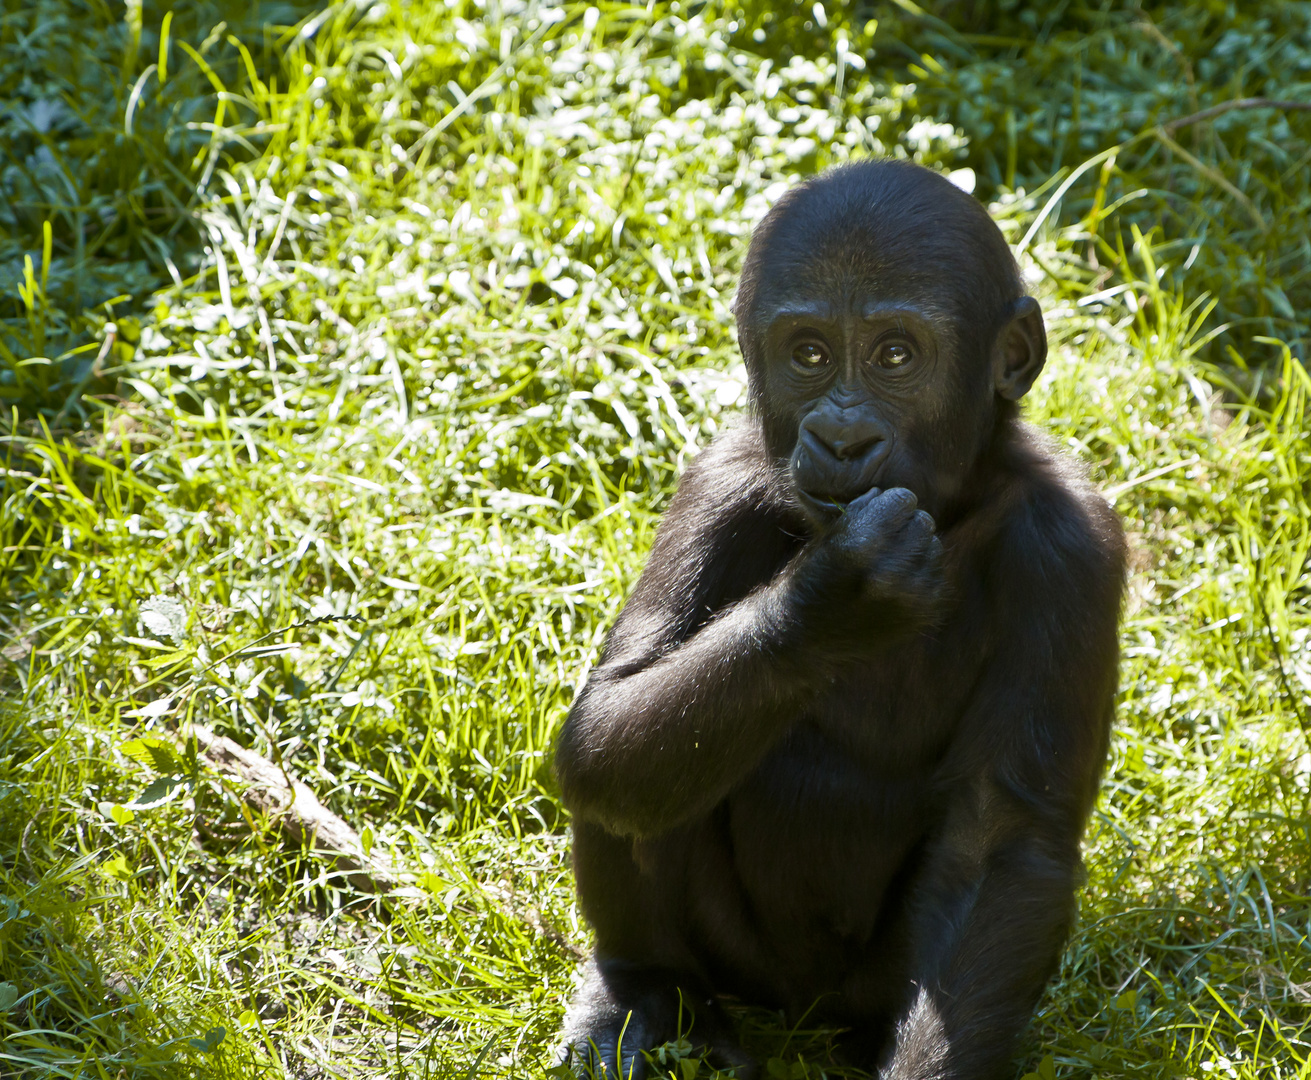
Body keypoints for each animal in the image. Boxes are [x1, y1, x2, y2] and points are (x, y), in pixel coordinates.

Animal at [553, 160, 1127, 1080]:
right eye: (809, 354)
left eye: (895, 353)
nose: (842, 436)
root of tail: (801, 1020)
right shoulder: (722, 481)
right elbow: (606, 721)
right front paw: (832, 600)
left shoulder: (1072, 546)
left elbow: (997, 841)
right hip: (740, 967)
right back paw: (643, 987)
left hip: (864, 997)